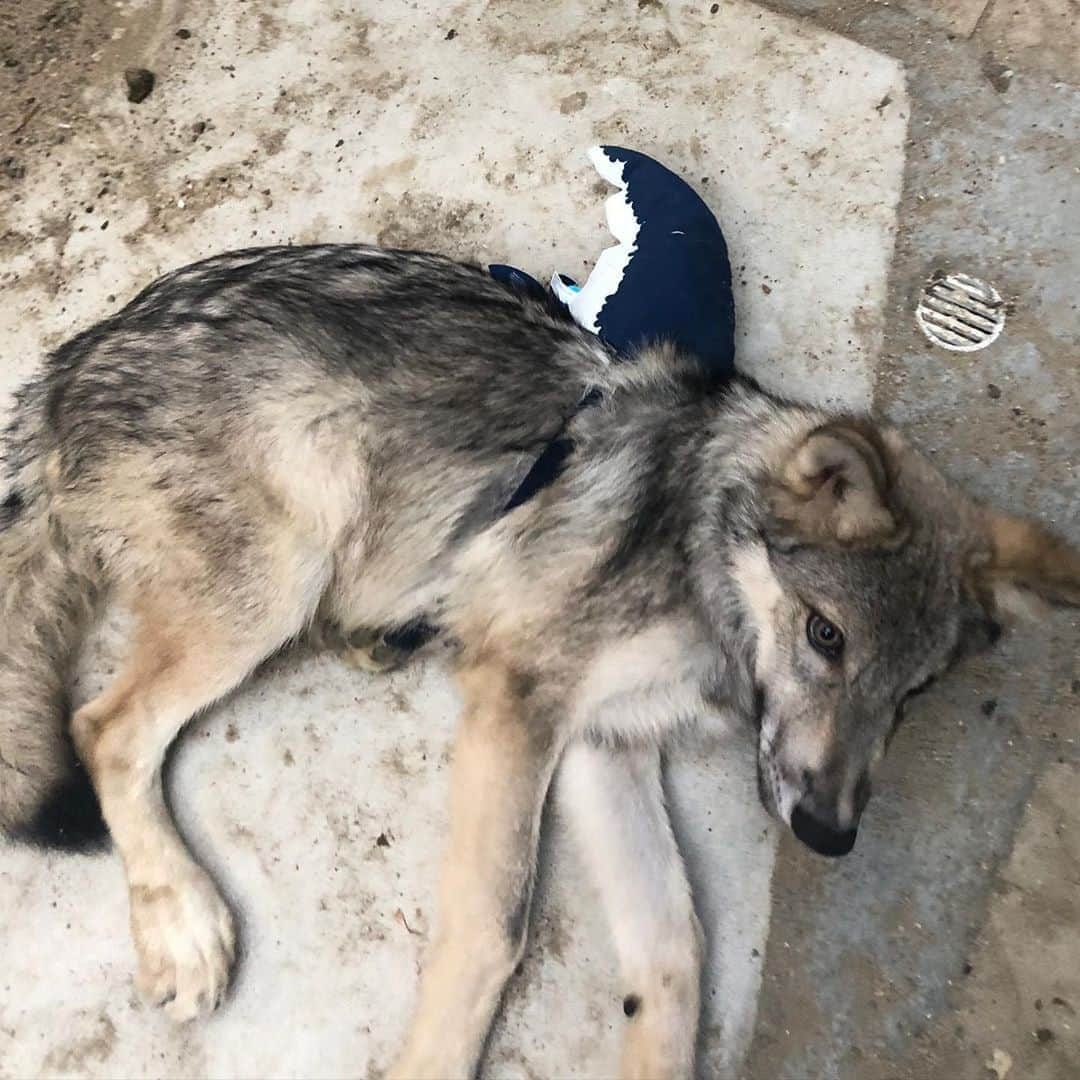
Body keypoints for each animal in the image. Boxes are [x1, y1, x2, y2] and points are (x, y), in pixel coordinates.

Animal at [2, 247, 1080, 1080]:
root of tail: (65, 369)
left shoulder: (606, 746)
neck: (700, 546)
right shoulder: (521, 703)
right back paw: (180, 922)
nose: (828, 835)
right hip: (279, 576)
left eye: (914, 692)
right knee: (105, 728)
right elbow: (494, 931)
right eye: (827, 636)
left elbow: (676, 957)